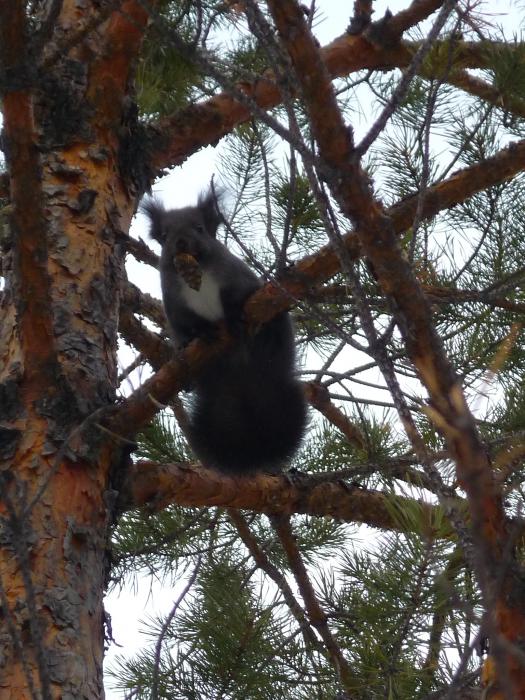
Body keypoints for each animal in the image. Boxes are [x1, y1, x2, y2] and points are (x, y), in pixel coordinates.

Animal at [142, 187, 307, 474]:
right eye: (164, 236)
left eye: (200, 228)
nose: (181, 242)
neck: (197, 270)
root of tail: (242, 379)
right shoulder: (175, 307)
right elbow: (186, 327)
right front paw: (194, 338)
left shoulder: (237, 278)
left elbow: (238, 296)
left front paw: (234, 317)